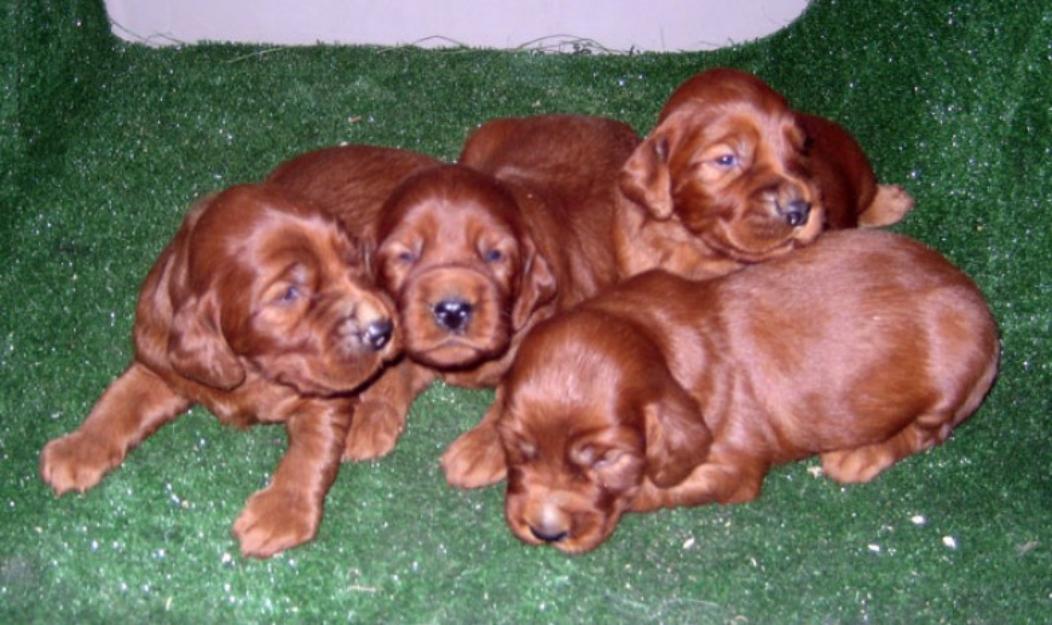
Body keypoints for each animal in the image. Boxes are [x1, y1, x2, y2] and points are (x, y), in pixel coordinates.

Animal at [39, 184, 397, 555]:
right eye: (289, 294)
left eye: (353, 261)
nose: (382, 330)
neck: (251, 365)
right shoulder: (162, 363)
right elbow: (120, 401)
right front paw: (78, 448)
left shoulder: (326, 392)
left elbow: (314, 449)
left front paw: (282, 511)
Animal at [496, 228, 997, 551]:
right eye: (519, 446)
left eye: (605, 459)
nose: (545, 531)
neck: (649, 332)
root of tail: (981, 305)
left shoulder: (731, 466)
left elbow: (650, 488)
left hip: (955, 363)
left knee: (931, 431)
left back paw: (859, 456)